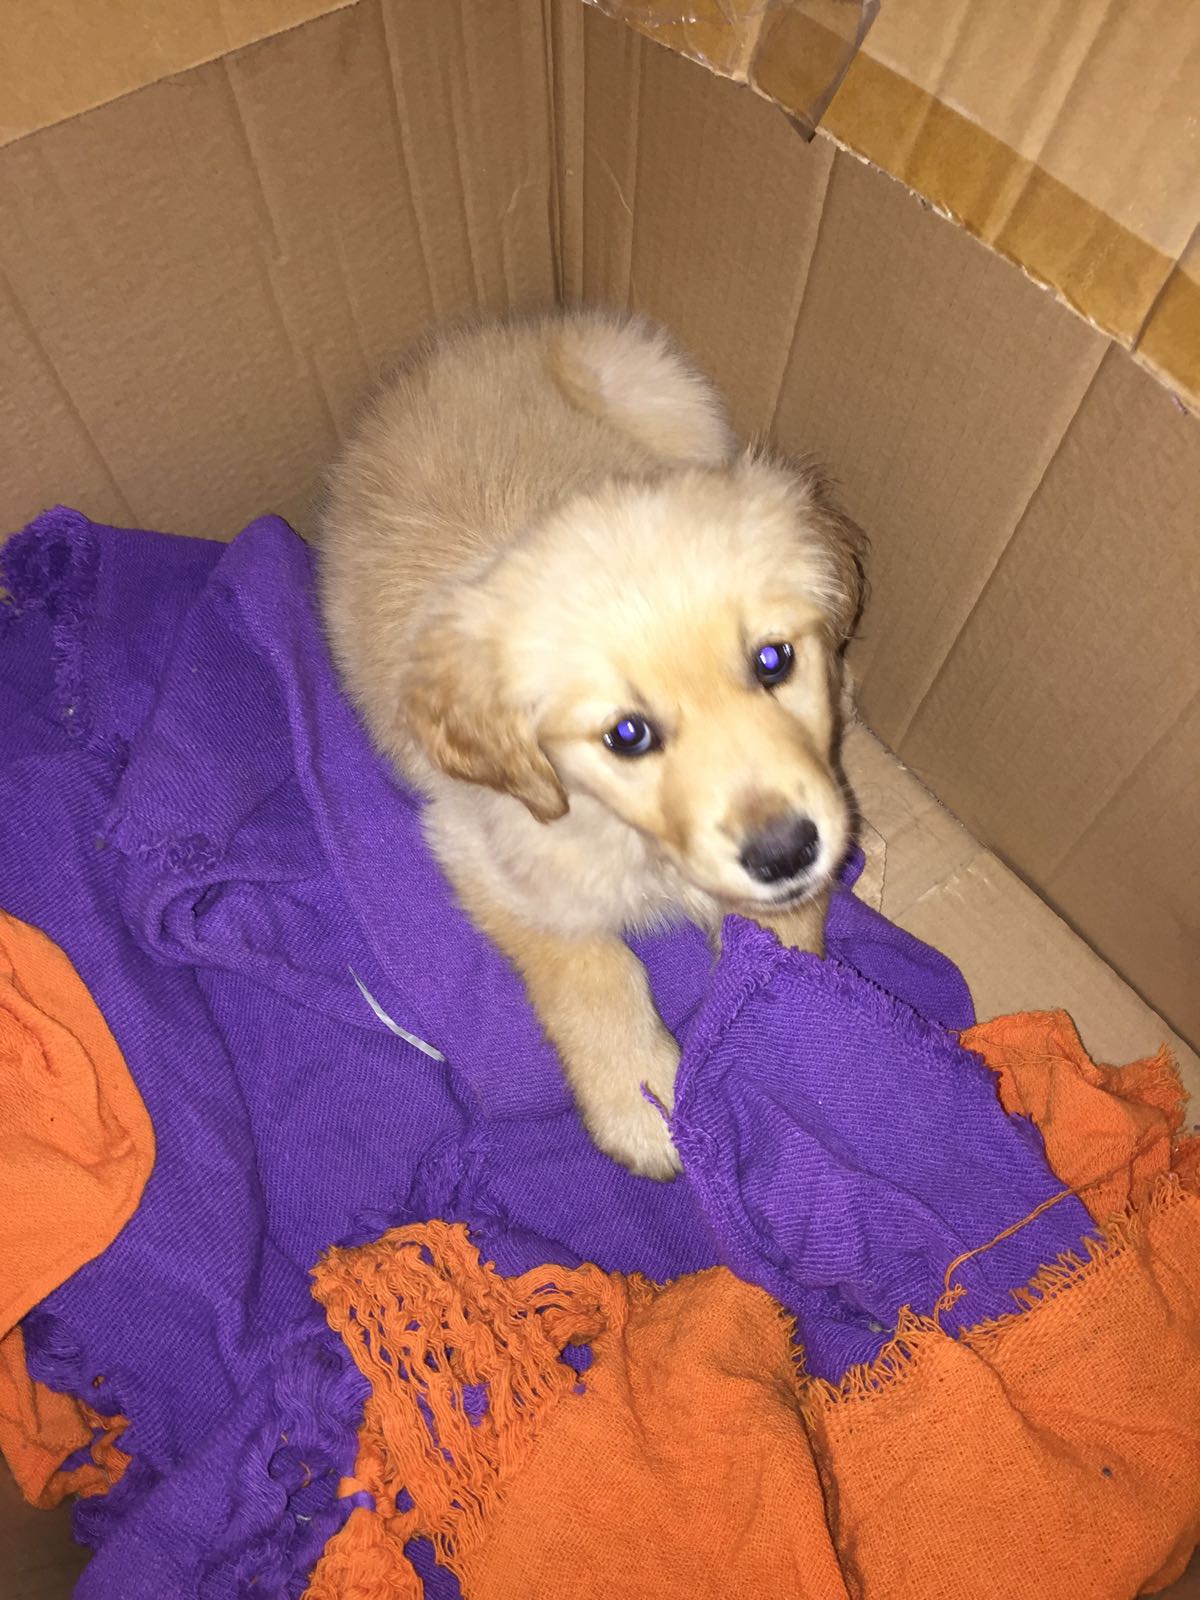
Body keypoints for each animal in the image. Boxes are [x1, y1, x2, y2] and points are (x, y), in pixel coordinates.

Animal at [317, 310, 865, 1179]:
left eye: (774, 661)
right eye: (627, 735)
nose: (784, 853)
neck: (634, 840)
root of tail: (493, 333)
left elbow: (783, 949)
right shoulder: (487, 851)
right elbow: (593, 966)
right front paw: (641, 1098)